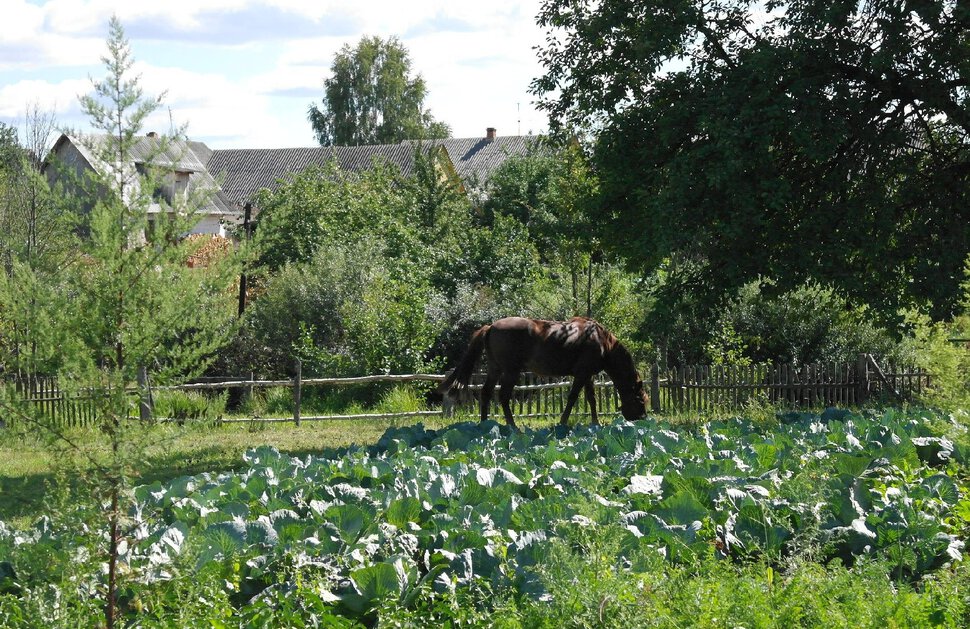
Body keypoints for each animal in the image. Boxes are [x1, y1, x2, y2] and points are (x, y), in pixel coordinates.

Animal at [434, 316, 648, 430]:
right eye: (641, 400)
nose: (643, 419)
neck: (602, 342)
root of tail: (490, 326)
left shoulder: (587, 375)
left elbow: (591, 399)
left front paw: (595, 423)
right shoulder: (581, 374)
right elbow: (572, 398)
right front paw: (563, 422)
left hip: (495, 369)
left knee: (486, 393)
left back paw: (485, 424)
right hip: (510, 371)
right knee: (503, 396)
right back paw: (513, 427)